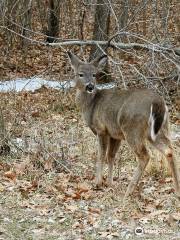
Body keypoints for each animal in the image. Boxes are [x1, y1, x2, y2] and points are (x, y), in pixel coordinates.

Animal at [67, 51, 180, 199]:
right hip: (159, 130)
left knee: (145, 155)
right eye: (80, 74)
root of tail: (157, 103)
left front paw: (98, 183)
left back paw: (128, 191)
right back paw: (177, 190)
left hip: (132, 129)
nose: (90, 86)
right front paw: (110, 183)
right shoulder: (115, 134)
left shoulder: (101, 129)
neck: (91, 105)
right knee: (169, 150)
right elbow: (111, 156)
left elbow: (101, 155)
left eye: (94, 74)